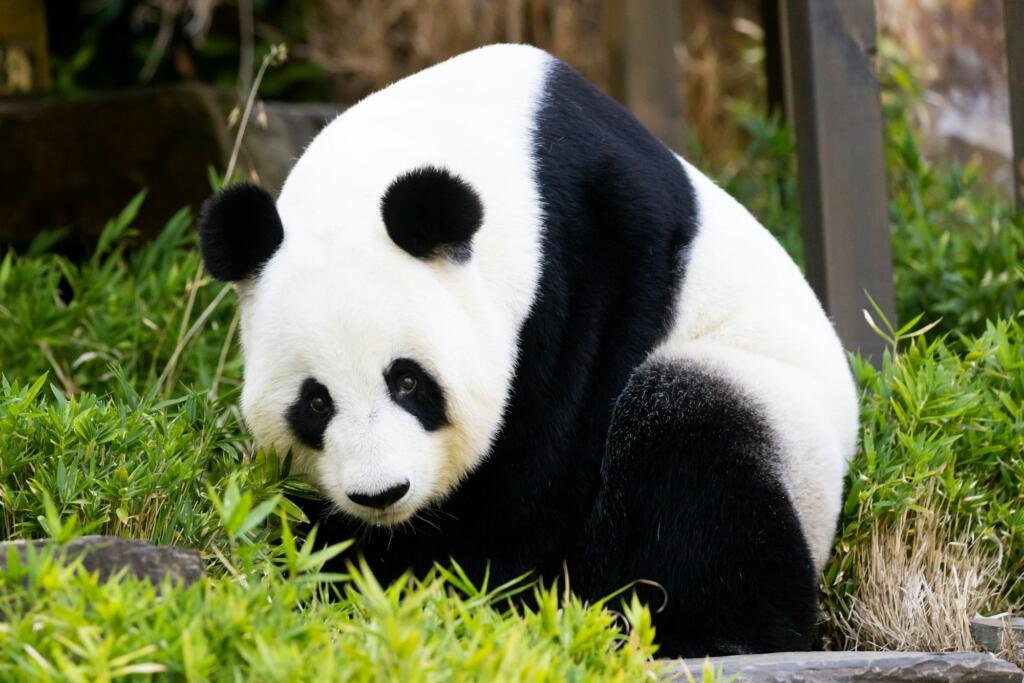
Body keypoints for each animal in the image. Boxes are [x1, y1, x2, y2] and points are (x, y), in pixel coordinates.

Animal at [197, 42, 856, 655]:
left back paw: (706, 634)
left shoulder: (591, 261)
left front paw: (449, 588)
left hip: (785, 431)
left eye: (408, 381)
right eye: (315, 403)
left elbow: (541, 469)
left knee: (695, 444)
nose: (380, 494)